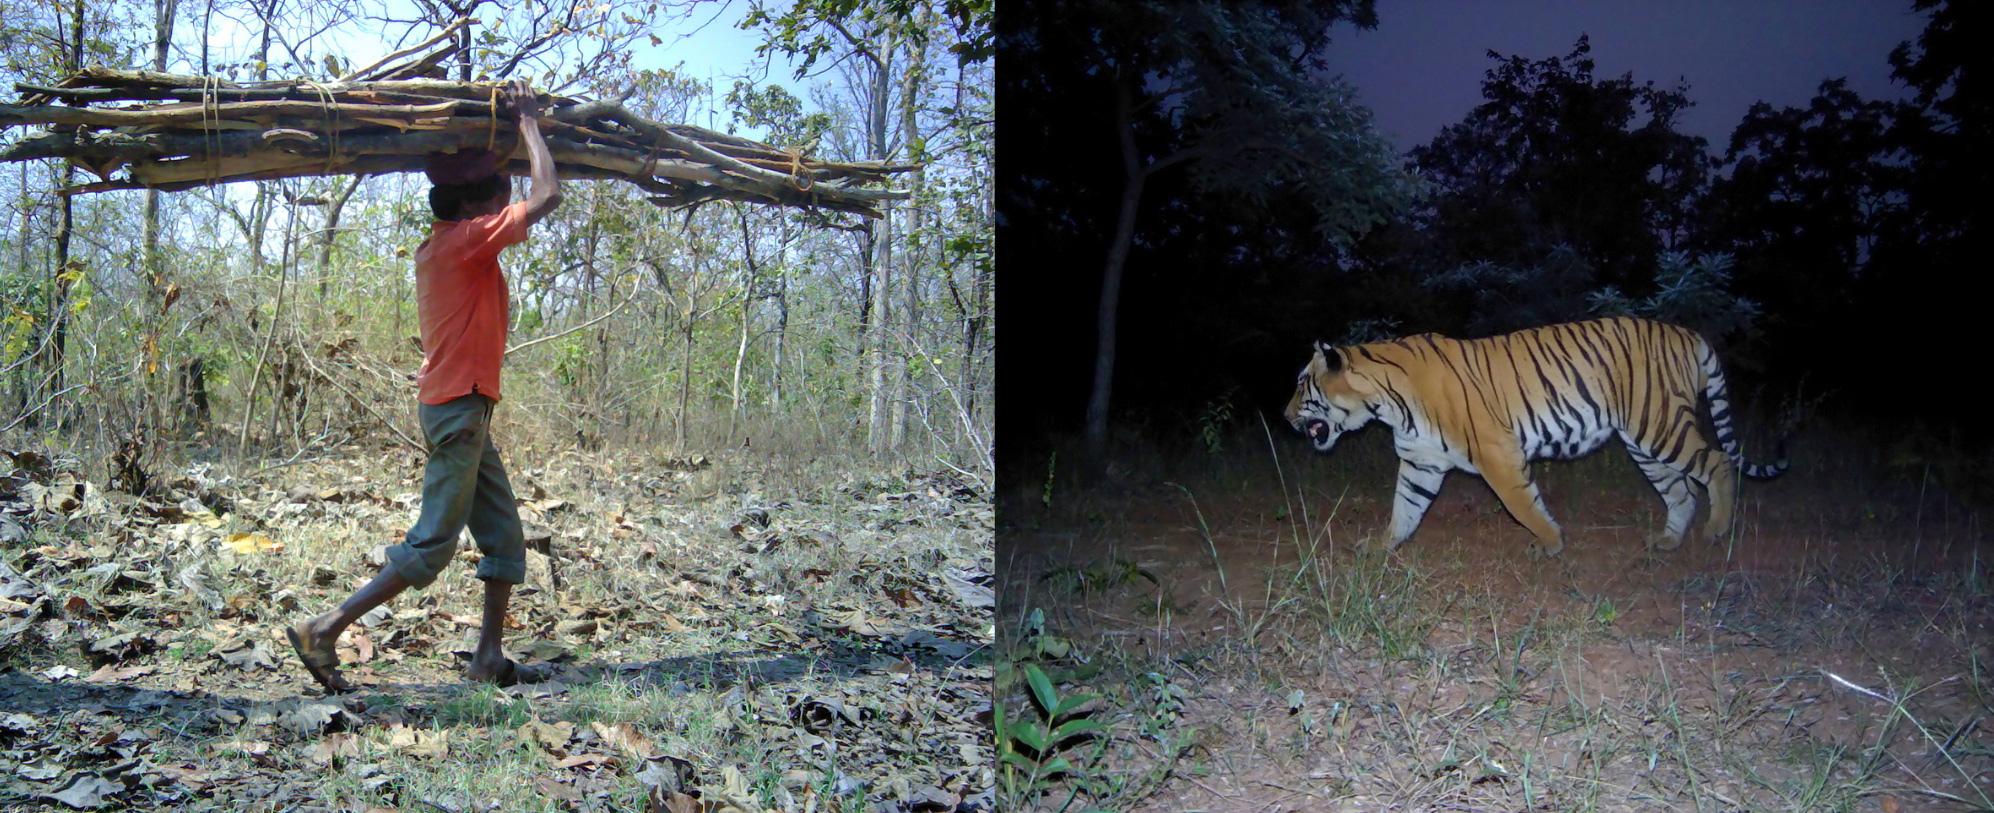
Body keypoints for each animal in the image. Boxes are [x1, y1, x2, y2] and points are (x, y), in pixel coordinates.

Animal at [1283, 316, 1787, 558]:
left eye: (1302, 384)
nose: (1285, 418)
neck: (1386, 404)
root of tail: (1688, 333)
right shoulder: (1420, 461)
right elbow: (1404, 509)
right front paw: (1382, 547)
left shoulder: (1497, 453)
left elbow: (1521, 504)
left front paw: (1551, 542)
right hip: (1644, 442)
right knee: (1681, 490)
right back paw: (1668, 542)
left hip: (1660, 425)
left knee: (1718, 463)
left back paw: (1717, 530)